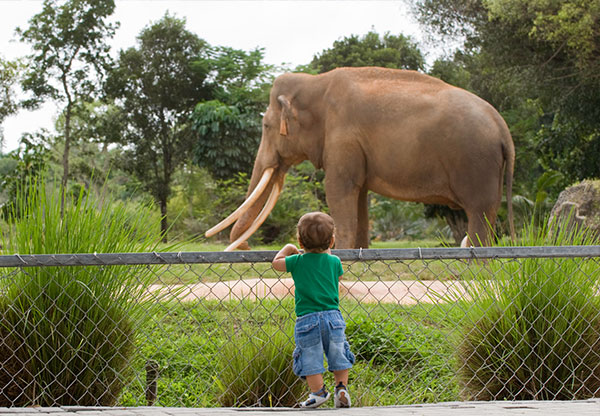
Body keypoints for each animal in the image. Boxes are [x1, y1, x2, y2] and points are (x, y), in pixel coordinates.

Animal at [206, 67, 516, 250]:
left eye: (266, 126)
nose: (246, 248)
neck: (316, 83)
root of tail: (503, 129)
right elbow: (359, 196)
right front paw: (361, 253)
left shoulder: (342, 137)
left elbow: (338, 190)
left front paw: (340, 254)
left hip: (476, 163)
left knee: (479, 211)